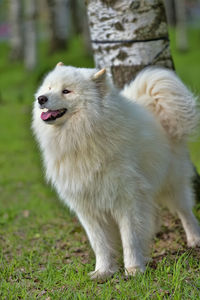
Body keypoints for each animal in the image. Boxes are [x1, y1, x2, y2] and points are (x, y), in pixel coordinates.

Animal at [32, 62, 200, 278]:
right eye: (49, 87)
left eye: (66, 91)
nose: (41, 98)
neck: (83, 137)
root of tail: (151, 105)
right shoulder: (88, 207)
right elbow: (100, 243)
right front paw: (103, 271)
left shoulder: (126, 199)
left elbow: (129, 238)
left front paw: (134, 269)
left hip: (172, 182)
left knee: (184, 210)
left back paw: (194, 238)